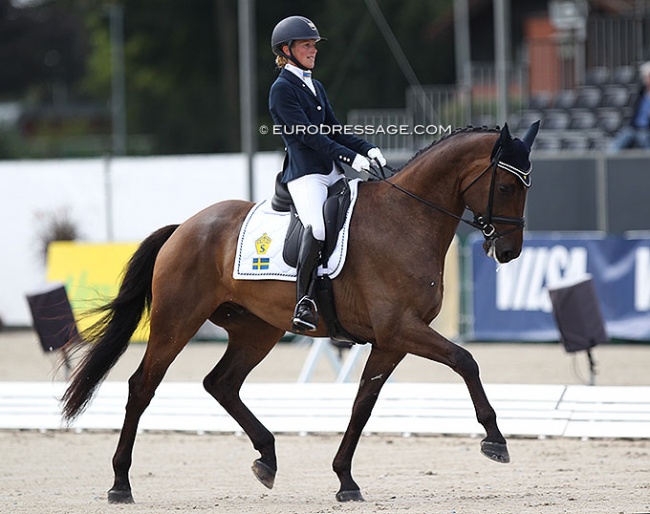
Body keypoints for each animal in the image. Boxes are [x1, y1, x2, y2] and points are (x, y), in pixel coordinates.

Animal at [60, 122, 540, 502]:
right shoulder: (401, 328)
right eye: (506, 187)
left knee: (221, 383)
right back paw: (120, 484)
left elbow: (363, 403)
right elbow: (465, 359)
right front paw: (495, 440)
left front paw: (345, 479)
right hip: (176, 322)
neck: (407, 218)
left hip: (257, 331)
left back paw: (267, 458)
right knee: (143, 386)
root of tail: (185, 227)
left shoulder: (391, 339)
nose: (510, 252)